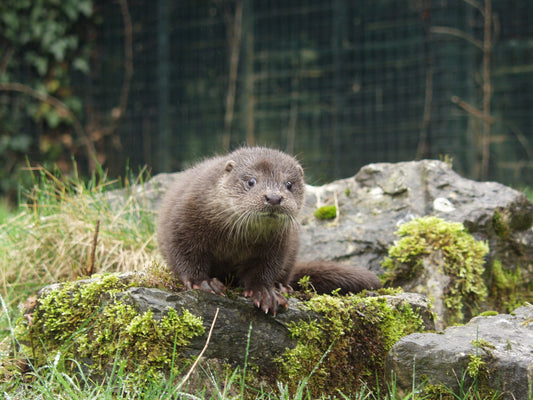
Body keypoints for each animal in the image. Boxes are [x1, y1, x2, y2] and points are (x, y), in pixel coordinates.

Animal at [156, 147, 380, 316]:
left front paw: (265, 292)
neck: (232, 242)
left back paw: (282, 286)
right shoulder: (182, 222)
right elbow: (185, 255)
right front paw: (203, 283)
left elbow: (265, 268)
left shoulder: (278, 244)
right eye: (251, 181)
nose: (273, 197)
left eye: (288, 184)